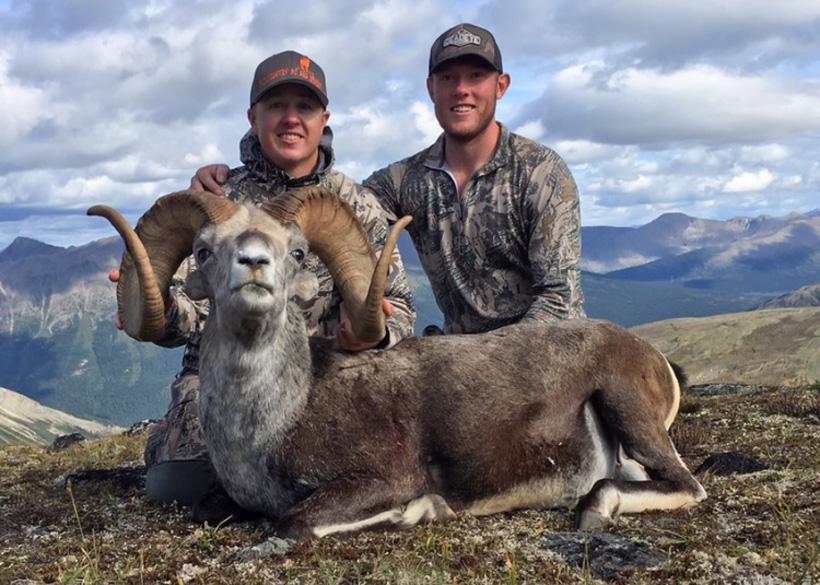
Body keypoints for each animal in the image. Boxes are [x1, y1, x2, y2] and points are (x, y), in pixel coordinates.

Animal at [88, 187, 706, 541]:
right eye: (204, 249)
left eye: (296, 251)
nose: (255, 264)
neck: (275, 420)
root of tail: (651, 358)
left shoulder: (381, 479)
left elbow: (298, 522)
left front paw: (418, 513)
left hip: (624, 406)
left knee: (682, 487)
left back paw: (596, 510)